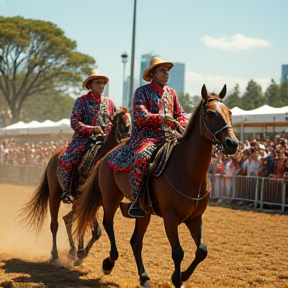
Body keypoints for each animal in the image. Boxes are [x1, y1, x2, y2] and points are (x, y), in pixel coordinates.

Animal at [21, 109, 130, 264]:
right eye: (121, 124)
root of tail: (54, 156)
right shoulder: (85, 200)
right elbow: (90, 228)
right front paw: (80, 252)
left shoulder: (96, 203)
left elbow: (93, 230)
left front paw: (81, 252)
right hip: (54, 196)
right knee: (55, 224)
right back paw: (55, 254)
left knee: (68, 219)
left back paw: (72, 250)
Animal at [75, 84, 238, 286]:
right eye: (210, 113)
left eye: (229, 112)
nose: (233, 143)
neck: (186, 169)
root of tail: (105, 157)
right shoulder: (170, 217)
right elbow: (178, 252)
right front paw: (176, 278)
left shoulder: (195, 217)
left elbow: (202, 250)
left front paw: (183, 276)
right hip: (110, 197)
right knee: (108, 224)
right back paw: (109, 262)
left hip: (143, 212)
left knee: (136, 242)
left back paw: (144, 277)